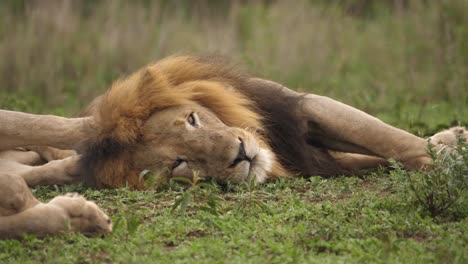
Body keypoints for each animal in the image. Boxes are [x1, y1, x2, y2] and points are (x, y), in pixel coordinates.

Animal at [0, 54, 466, 238]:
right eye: (180, 164)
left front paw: (447, 150)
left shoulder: (298, 110)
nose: (241, 153)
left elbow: (387, 140)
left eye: (193, 118)